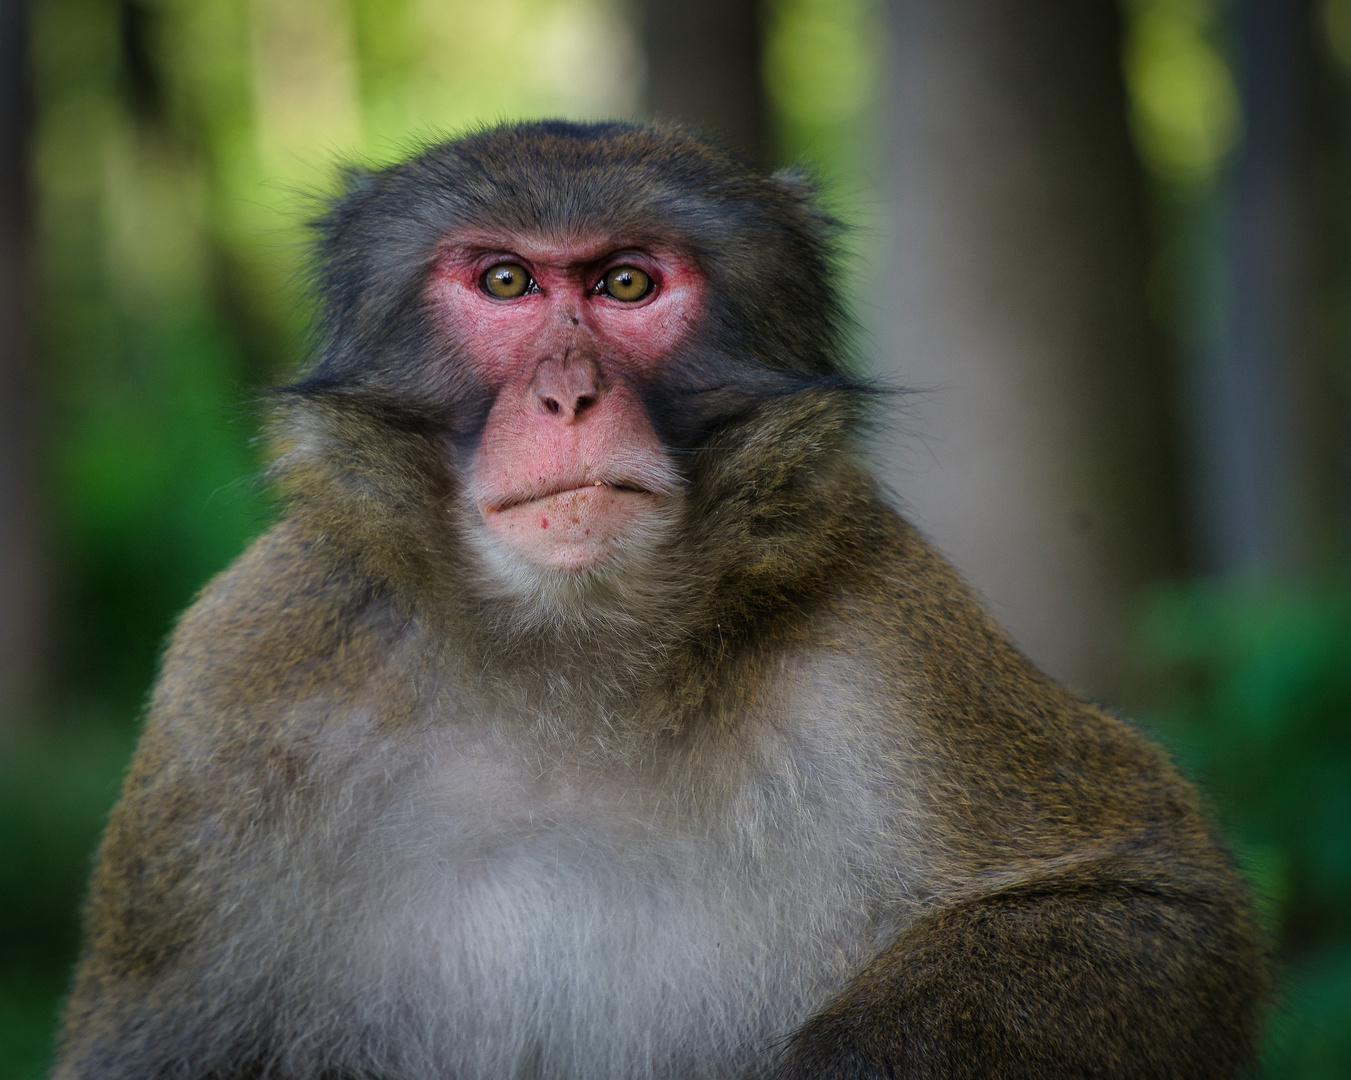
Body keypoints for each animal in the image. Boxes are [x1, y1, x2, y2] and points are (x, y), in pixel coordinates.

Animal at [52, 122, 1264, 1075]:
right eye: (506, 283)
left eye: (626, 285)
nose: (567, 393)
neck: (567, 666)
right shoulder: (243, 684)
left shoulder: (889, 649)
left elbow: (1155, 909)